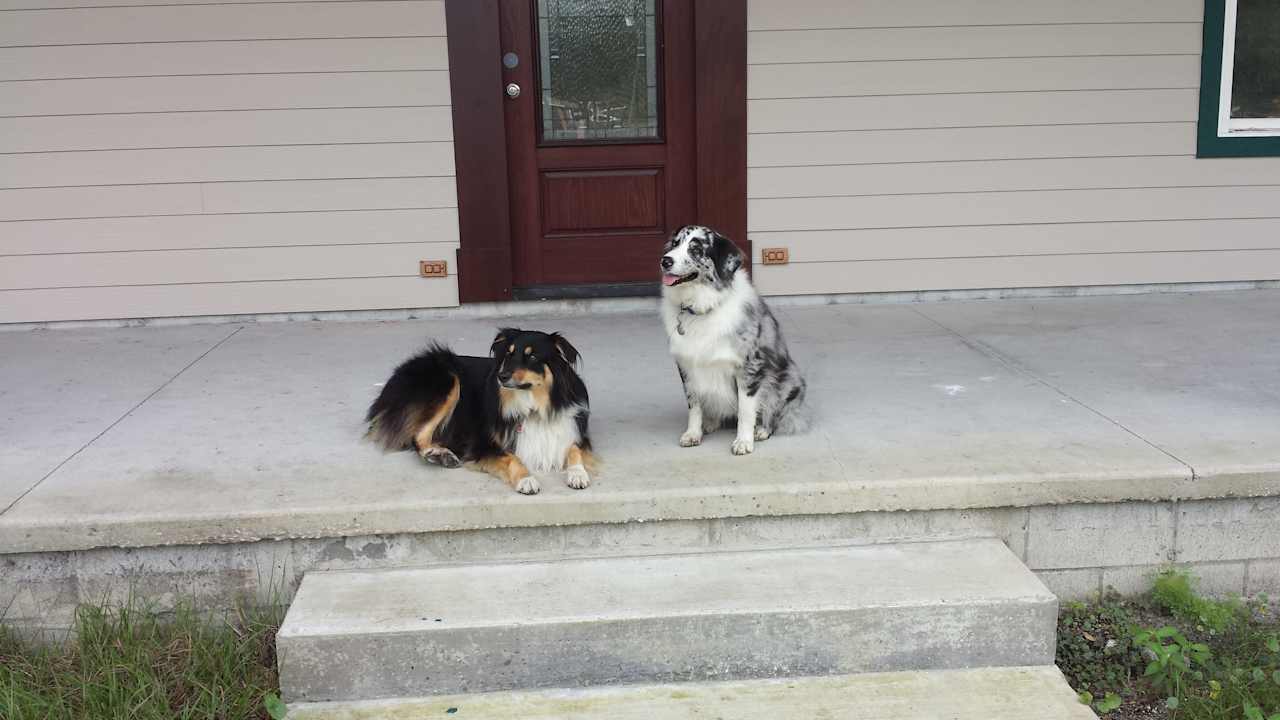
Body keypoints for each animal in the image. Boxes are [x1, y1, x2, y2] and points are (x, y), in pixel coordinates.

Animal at [366, 326, 593, 489]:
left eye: (532, 356)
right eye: (508, 354)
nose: (501, 377)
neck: (535, 406)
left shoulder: (574, 429)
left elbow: (574, 448)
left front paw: (577, 473)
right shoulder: (482, 445)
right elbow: (511, 457)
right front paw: (526, 479)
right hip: (449, 378)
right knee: (417, 436)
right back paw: (438, 454)